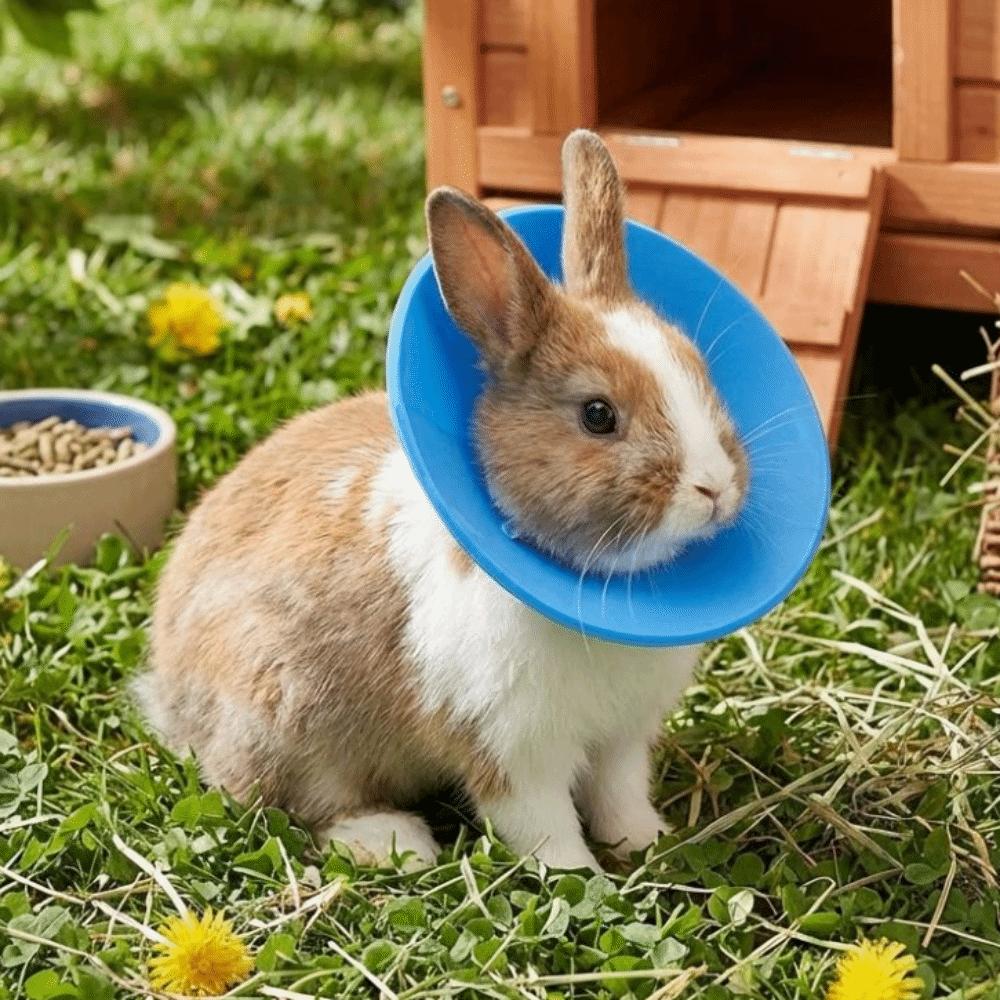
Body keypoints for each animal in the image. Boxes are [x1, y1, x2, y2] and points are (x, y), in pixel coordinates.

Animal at [136, 130, 748, 872]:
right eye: (598, 415)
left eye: (699, 371)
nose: (715, 487)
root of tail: (169, 697)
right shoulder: (506, 745)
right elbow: (539, 820)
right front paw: (576, 874)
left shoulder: (620, 741)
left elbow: (619, 795)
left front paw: (645, 843)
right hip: (289, 717)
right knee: (287, 803)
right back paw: (392, 841)